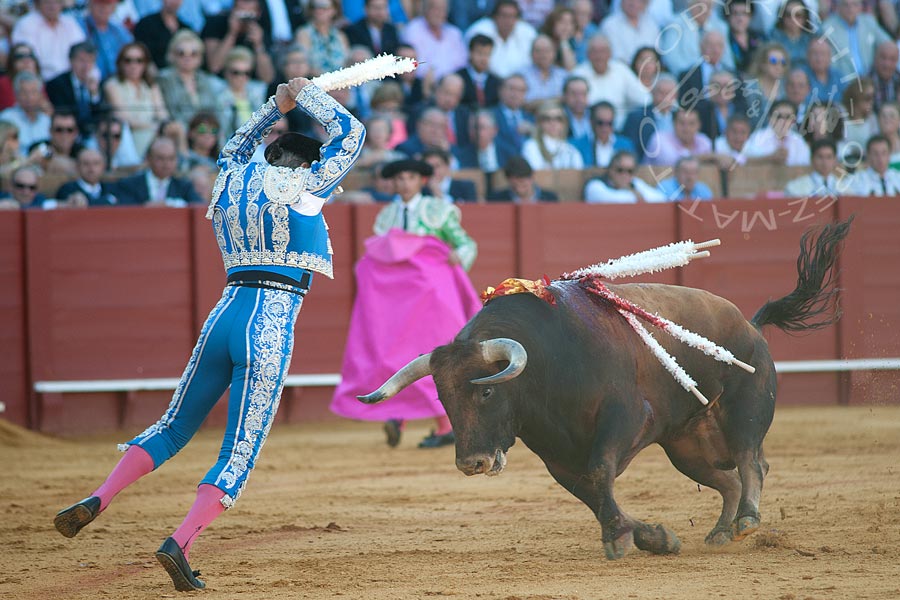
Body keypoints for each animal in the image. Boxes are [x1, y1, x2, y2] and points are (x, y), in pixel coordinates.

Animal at [356, 219, 852, 556]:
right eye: (443, 397)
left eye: (487, 391)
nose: (471, 463)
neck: (548, 366)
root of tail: (750, 324)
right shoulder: (556, 457)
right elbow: (592, 493)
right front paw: (652, 537)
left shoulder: (625, 419)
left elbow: (599, 474)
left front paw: (621, 539)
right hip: (686, 446)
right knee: (725, 478)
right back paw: (719, 531)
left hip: (744, 409)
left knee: (752, 461)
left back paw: (747, 519)